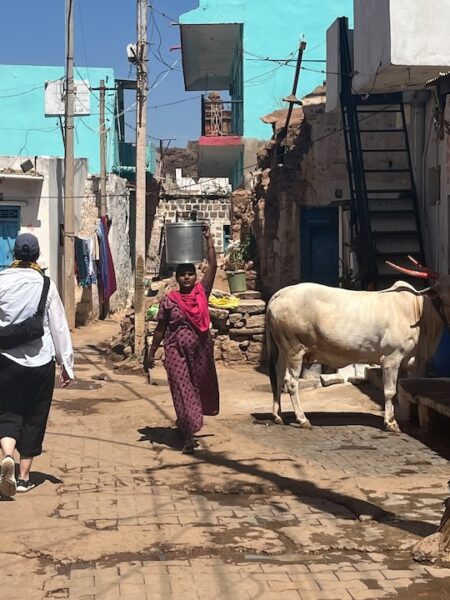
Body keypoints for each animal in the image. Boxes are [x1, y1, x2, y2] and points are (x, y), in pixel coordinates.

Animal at [266, 270, 448, 432]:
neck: (417, 310)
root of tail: (282, 293)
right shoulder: (391, 358)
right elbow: (390, 391)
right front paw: (391, 423)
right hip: (294, 349)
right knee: (290, 382)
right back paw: (303, 419)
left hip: (283, 350)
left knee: (278, 376)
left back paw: (278, 415)